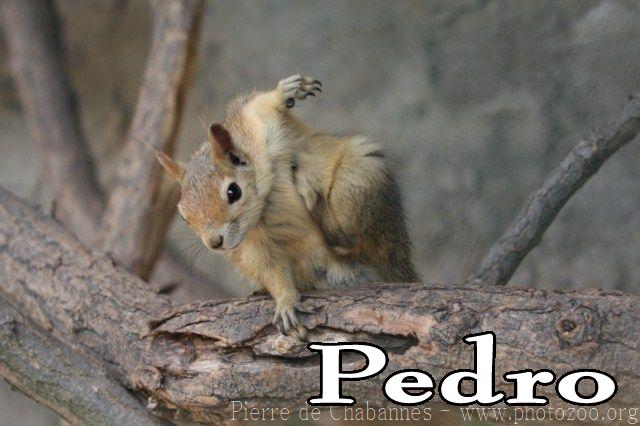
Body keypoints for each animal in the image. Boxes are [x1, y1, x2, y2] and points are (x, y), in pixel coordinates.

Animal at [154, 75, 419, 337]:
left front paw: (289, 90)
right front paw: (286, 301)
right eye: (184, 216)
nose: (214, 243)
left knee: (347, 239)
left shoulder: (256, 124)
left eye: (233, 192)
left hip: (359, 179)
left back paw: (310, 193)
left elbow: (262, 104)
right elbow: (271, 271)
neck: (266, 201)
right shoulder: (252, 246)